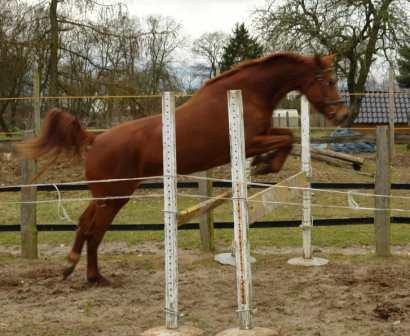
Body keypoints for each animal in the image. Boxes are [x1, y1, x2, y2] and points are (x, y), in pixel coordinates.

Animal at [19, 52, 350, 284]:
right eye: (329, 82)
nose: (343, 115)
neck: (250, 92)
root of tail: (95, 138)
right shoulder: (249, 140)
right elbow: (288, 137)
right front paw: (265, 165)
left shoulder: (260, 136)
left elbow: (287, 136)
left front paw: (264, 164)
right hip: (115, 196)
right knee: (94, 230)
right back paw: (91, 275)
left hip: (106, 195)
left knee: (85, 223)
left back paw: (74, 267)